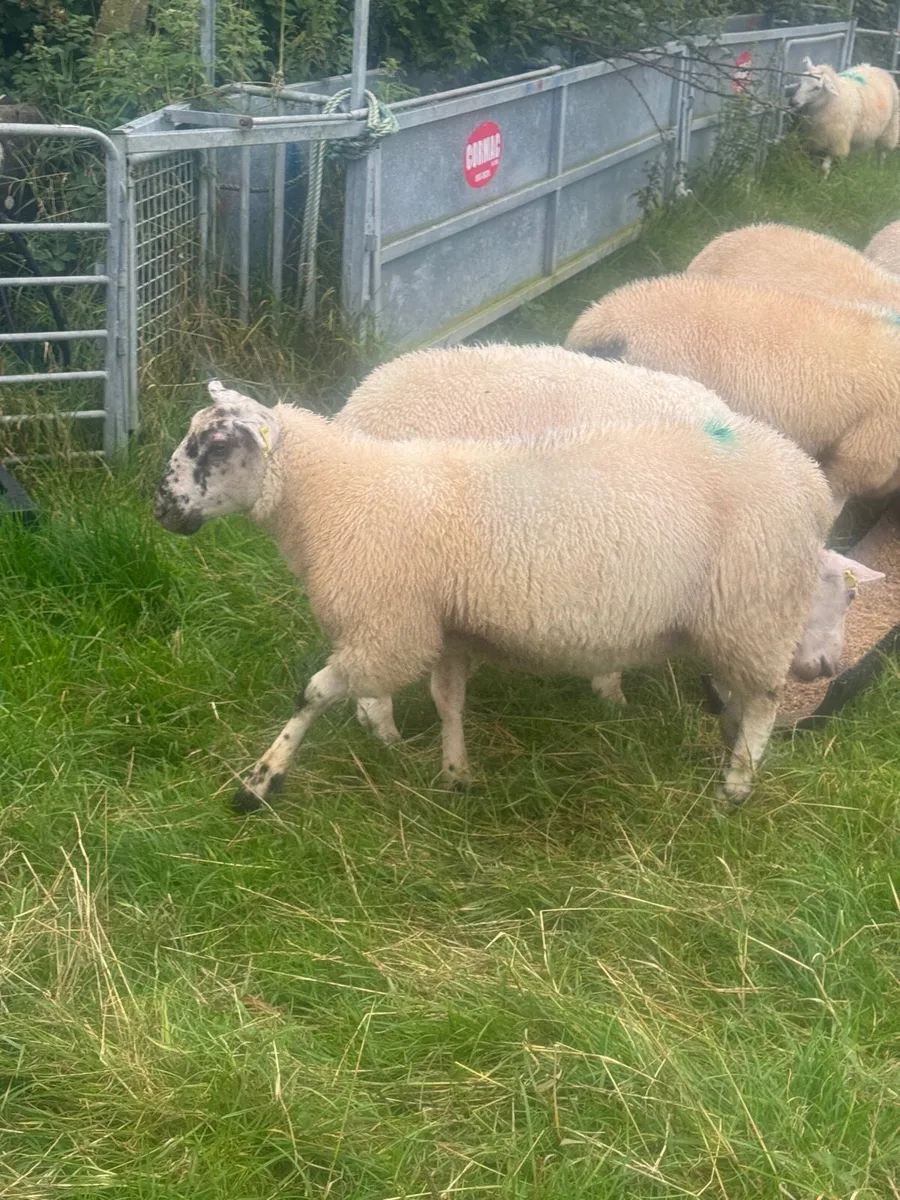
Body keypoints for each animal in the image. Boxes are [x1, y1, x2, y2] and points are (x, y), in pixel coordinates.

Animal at [154, 379, 834, 810]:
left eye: (217, 445)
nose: (161, 509)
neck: (336, 493)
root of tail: (810, 479)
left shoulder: (389, 627)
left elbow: (313, 693)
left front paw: (259, 783)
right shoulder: (448, 626)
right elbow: (448, 700)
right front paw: (456, 775)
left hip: (756, 605)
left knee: (766, 697)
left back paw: (737, 786)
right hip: (742, 616)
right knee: (743, 696)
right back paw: (729, 750)